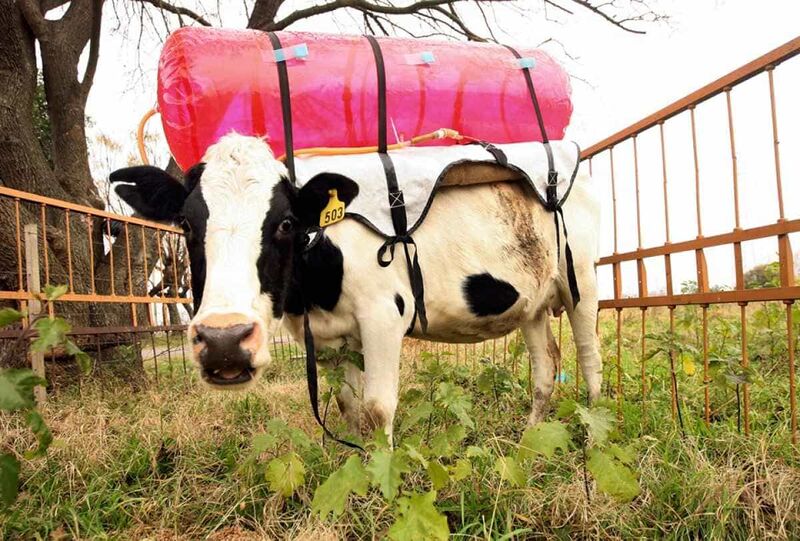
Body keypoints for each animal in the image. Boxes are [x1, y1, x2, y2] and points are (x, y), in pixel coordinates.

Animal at [110, 133, 602, 440]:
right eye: (185, 223)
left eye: (286, 223)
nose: (224, 342)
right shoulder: (328, 339)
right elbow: (349, 408)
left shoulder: (383, 316)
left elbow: (378, 407)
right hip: (531, 302)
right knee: (545, 369)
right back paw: (529, 441)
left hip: (581, 280)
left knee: (588, 358)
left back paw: (595, 437)